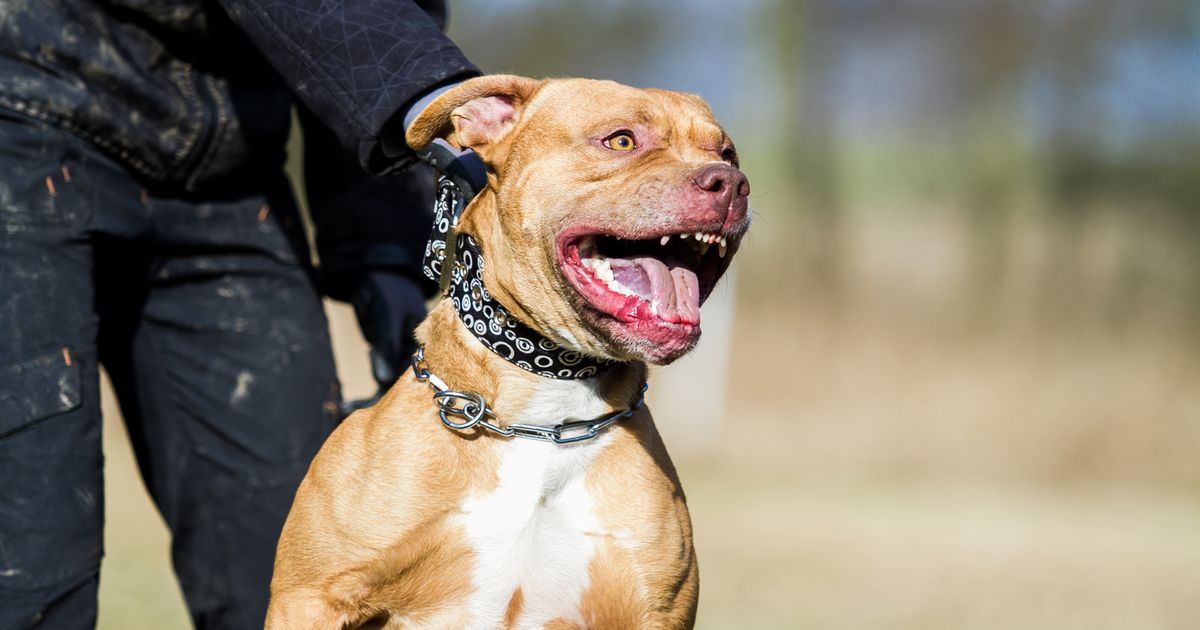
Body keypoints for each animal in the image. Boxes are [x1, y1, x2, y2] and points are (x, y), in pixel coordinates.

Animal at [270, 75, 748, 628]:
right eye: (622, 141)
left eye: (727, 154)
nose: (731, 184)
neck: (546, 408)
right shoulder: (310, 600)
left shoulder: (654, 610)